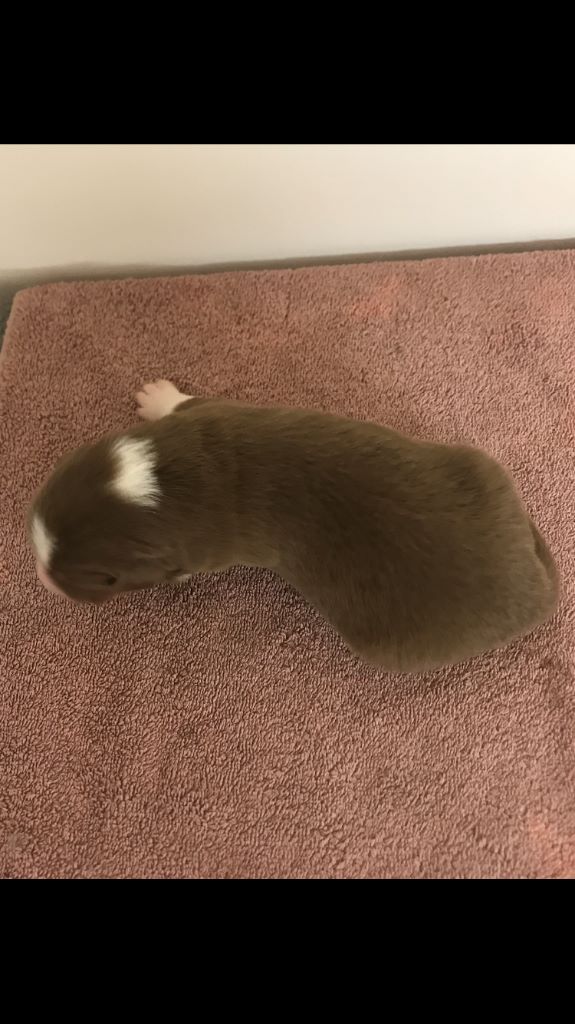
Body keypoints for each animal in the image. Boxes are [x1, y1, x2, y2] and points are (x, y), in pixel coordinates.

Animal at [28, 379, 559, 672]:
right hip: (481, 466)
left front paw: (158, 396)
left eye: (106, 579)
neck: (159, 484)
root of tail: (536, 594)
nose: (40, 577)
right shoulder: (210, 415)